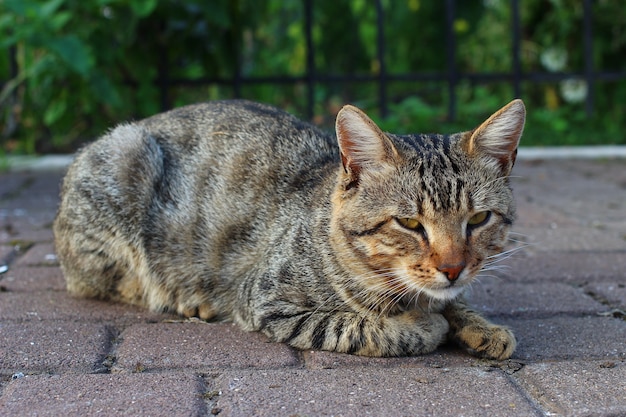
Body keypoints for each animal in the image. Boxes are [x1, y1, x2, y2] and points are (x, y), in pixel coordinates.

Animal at [53, 98, 524, 358]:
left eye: (478, 219)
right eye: (409, 223)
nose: (453, 268)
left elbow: (454, 303)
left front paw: (480, 326)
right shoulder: (269, 302)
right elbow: (358, 325)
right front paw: (424, 325)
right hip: (126, 160)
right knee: (107, 281)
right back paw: (188, 300)